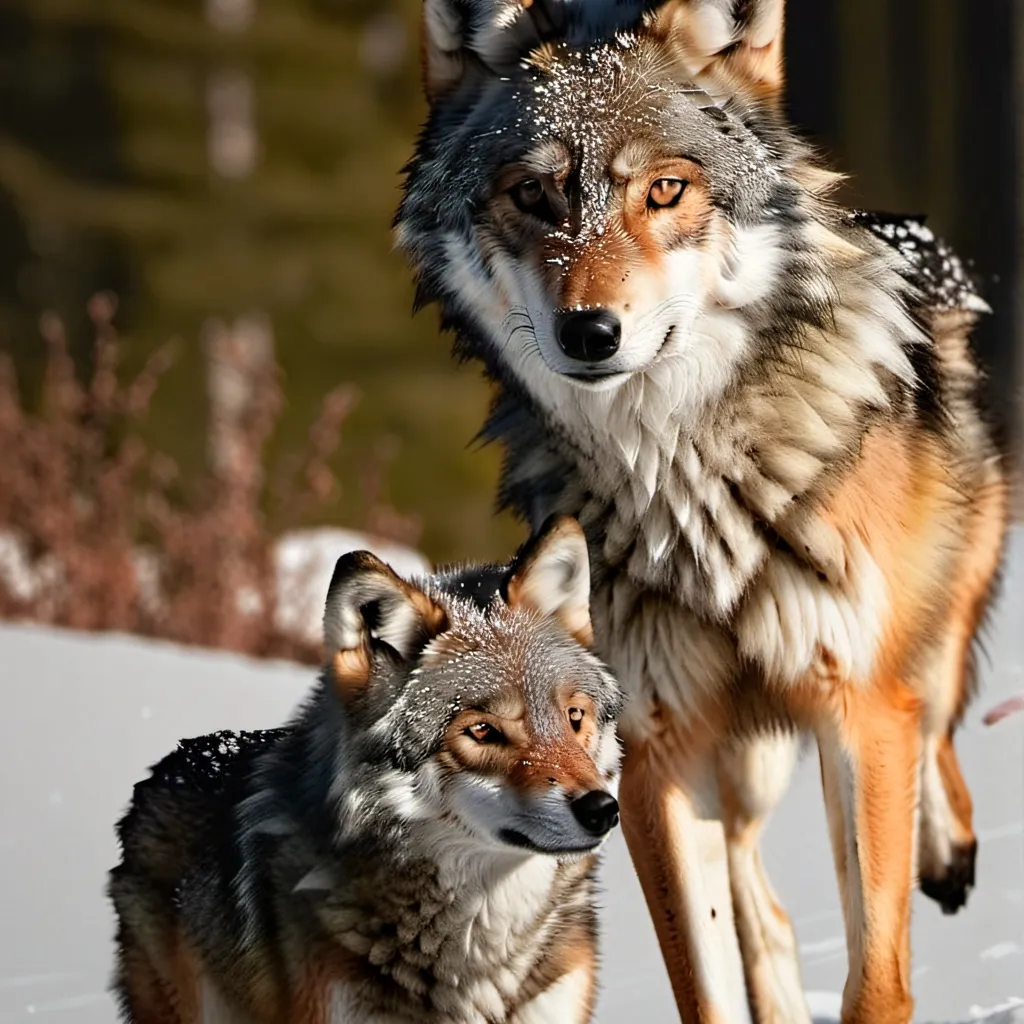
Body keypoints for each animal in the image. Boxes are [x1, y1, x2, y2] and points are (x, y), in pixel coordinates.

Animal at [395, 1, 1010, 1021]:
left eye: (665, 191)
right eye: (533, 196)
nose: (589, 331)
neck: (686, 479)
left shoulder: (855, 708)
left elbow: (876, 977)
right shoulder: (655, 746)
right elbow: (709, 979)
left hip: (915, 644)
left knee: (936, 725)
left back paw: (949, 851)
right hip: (741, 765)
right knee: (770, 911)